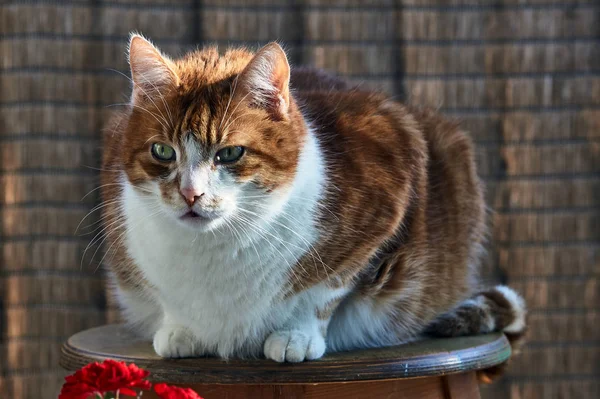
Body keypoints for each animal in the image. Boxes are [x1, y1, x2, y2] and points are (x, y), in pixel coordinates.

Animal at [101, 34, 528, 372]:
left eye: (230, 153)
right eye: (162, 151)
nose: (191, 194)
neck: (216, 246)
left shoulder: (389, 187)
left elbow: (326, 288)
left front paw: (296, 335)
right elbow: (166, 296)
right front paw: (180, 329)